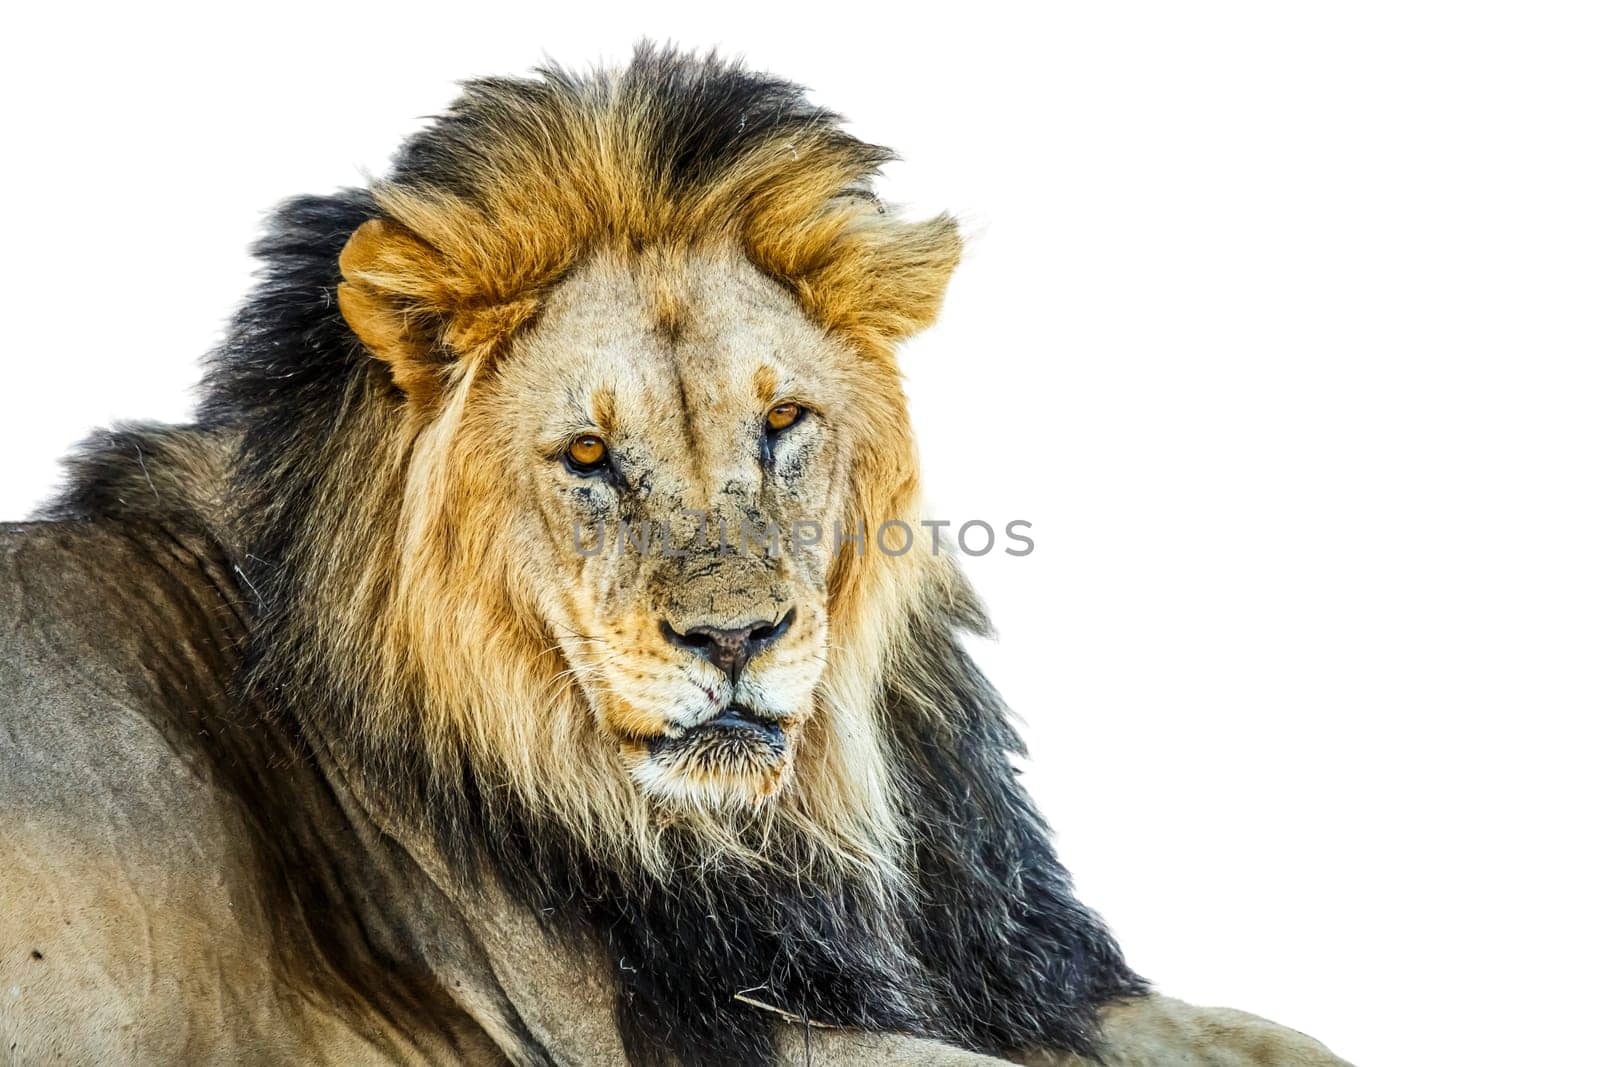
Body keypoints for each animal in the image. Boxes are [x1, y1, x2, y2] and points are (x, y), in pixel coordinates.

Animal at [0, 47, 1350, 1067]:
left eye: (783, 420)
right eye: (590, 455)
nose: (733, 638)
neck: (795, 815)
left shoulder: (1005, 964)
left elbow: (1267, 1034)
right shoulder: (659, 1030)